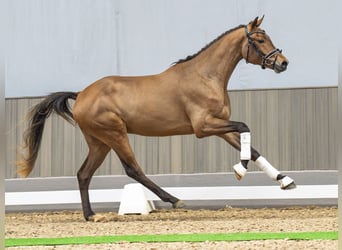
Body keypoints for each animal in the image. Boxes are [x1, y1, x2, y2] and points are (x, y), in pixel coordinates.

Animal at [16, 16, 296, 222]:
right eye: (259, 39)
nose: (283, 63)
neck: (205, 75)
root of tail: (82, 93)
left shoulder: (219, 126)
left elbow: (253, 148)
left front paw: (285, 181)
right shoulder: (203, 126)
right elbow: (245, 127)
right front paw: (240, 169)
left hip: (99, 142)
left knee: (84, 174)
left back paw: (91, 215)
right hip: (115, 134)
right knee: (133, 169)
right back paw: (175, 200)